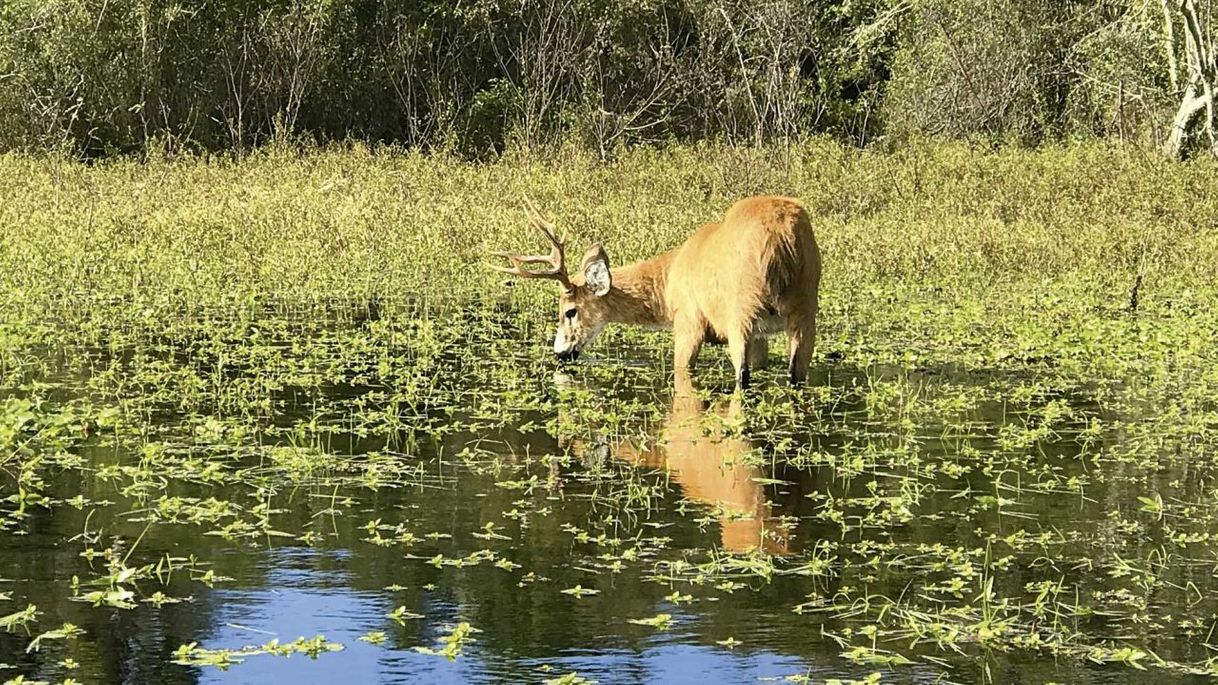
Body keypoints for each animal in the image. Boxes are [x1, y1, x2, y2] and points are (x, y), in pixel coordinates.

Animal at [489, 197, 823, 390]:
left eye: (569, 311)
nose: (560, 352)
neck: (668, 282)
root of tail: (780, 237)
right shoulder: (762, 337)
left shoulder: (688, 321)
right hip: (806, 305)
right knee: (797, 373)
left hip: (741, 308)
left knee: (743, 376)